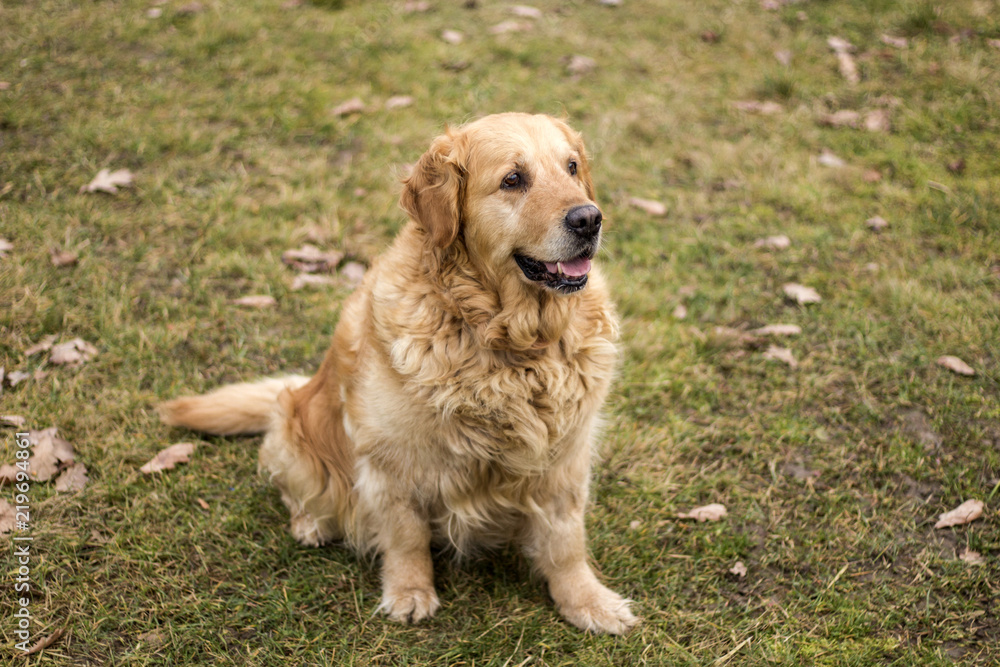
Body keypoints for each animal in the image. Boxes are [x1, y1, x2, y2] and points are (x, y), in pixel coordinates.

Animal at [159, 112, 636, 636]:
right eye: (513, 180)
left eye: (571, 167)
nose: (589, 218)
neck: (507, 342)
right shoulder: (391, 463)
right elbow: (406, 536)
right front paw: (409, 592)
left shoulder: (566, 457)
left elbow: (566, 541)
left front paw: (587, 601)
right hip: (292, 430)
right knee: (297, 488)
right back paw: (311, 523)